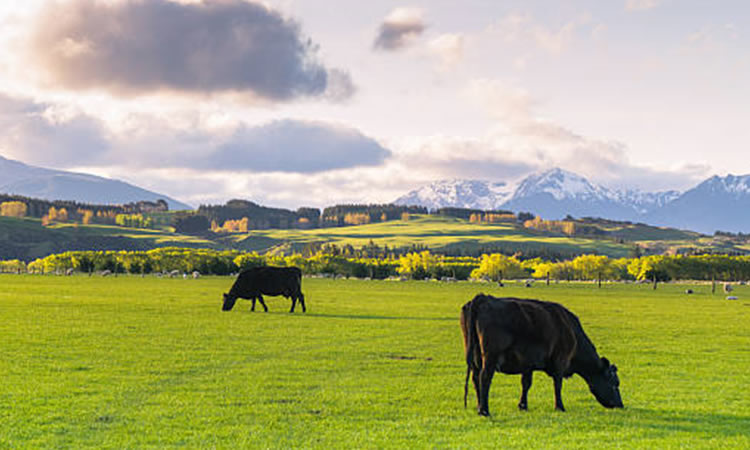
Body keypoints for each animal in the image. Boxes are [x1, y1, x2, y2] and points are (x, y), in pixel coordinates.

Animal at [462, 294, 624, 416]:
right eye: (615, 383)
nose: (620, 405)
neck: (573, 334)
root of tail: (483, 298)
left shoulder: (527, 364)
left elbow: (526, 384)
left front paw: (523, 406)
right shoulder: (560, 361)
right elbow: (558, 384)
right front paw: (560, 407)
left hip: (475, 358)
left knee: (475, 379)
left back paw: (479, 406)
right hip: (490, 357)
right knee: (484, 378)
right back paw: (484, 410)